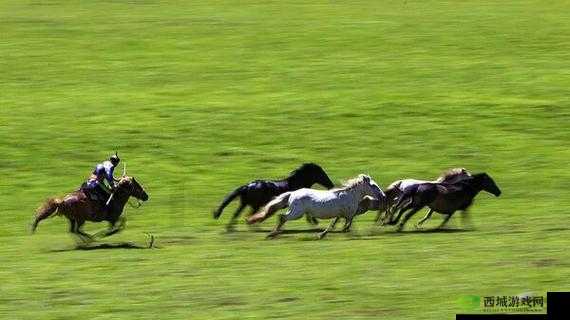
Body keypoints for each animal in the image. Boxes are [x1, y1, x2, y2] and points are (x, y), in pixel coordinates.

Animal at [245, 174, 386, 239]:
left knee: (281, 217)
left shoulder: (342, 214)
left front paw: (322, 234)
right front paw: (350, 233)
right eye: (373, 185)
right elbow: (348, 224)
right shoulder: (349, 214)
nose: (383, 196)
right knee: (282, 217)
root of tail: (292, 194)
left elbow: (334, 224)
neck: (350, 195)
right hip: (296, 213)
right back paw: (273, 234)